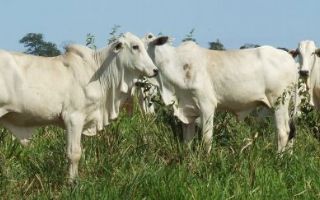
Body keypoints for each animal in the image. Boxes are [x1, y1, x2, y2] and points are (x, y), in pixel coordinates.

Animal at [0, 32, 158, 181]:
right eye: (135, 46)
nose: (155, 70)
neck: (98, 72)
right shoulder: (73, 118)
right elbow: (74, 153)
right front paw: (72, 183)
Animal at [144, 33, 298, 153]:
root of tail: (289, 58)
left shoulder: (207, 105)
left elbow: (207, 138)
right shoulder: (187, 109)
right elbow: (187, 140)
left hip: (279, 103)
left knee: (283, 132)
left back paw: (278, 158)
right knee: (290, 133)